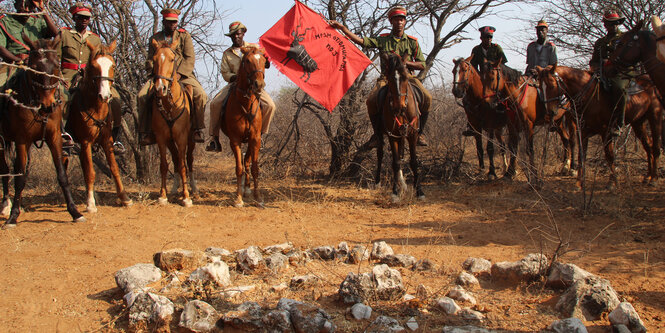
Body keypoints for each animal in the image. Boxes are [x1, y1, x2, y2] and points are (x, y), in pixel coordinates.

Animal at [0, 36, 84, 228]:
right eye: (34, 69)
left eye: (55, 66)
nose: (48, 105)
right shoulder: (22, 140)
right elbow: (20, 178)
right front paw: (13, 217)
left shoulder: (54, 138)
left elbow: (62, 175)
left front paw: (75, 212)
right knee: (5, 170)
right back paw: (6, 205)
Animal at [64, 38, 132, 210]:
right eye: (94, 66)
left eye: (113, 65)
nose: (105, 95)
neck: (95, 108)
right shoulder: (86, 141)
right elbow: (90, 172)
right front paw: (90, 204)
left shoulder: (107, 140)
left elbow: (114, 168)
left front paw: (124, 198)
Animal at [149, 37, 193, 206]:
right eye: (154, 59)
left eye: (172, 59)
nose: (160, 88)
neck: (169, 107)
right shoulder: (161, 137)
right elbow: (164, 165)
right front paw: (163, 195)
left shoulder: (182, 137)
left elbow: (182, 165)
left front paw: (186, 197)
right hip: (169, 140)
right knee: (174, 158)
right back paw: (175, 188)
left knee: (188, 161)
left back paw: (193, 188)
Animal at [222, 46, 266, 208]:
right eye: (247, 60)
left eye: (264, 61)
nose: (259, 84)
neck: (246, 104)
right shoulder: (235, 140)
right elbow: (239, 168)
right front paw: (238, 198)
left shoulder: (255, 139)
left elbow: (254, 167)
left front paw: (258, 198)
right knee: (243, 163)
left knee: (247, 162)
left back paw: (247, 189)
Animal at [374, 50, 426, 201]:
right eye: (390, 78)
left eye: (405, 77)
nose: (399, 106)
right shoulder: (393, 136)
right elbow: (396, 162)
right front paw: (395, 192)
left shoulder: (412, 134)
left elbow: (413, 161)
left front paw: (420, 191)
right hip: (380, 133)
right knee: (380, 153)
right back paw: (378, 182)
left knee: (402, 154)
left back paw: (403, 183)